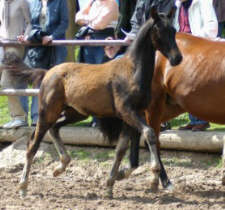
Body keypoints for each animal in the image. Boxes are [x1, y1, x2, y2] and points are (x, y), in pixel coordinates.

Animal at [18, 8, 183, 198]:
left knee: (55, 128)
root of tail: (48, 73)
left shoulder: (134, 115)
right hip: (48, 111)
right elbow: (149, 134)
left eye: (174, 30)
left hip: (75, 113)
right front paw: (154, 175)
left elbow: (121, 149)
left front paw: (111, 184)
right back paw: (23, 187)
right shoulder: (127, 112)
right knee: (33, 145)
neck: (132, 71)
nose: (177, 58)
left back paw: (60, 167)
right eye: (160, 30)